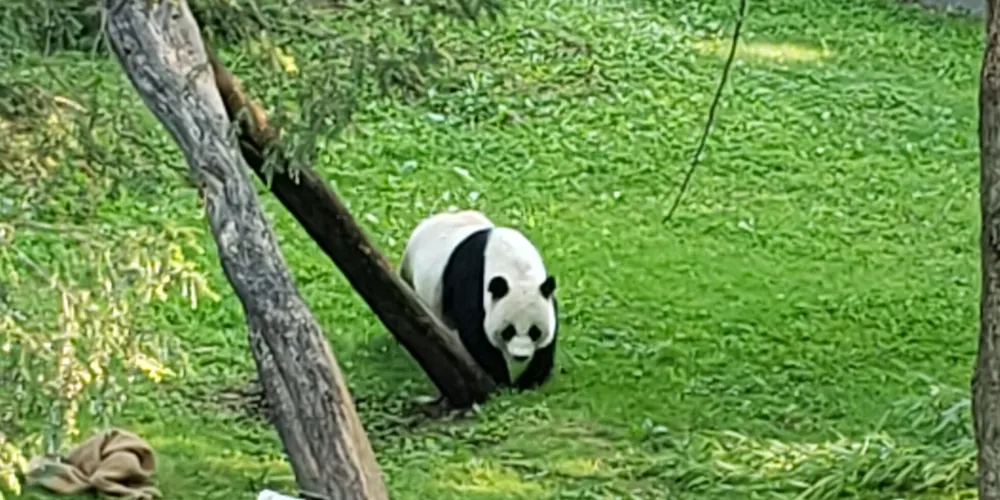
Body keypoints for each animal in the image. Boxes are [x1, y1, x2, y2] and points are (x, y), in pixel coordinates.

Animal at [399, 209, 560, 393]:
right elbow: (475, 331)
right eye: (508, 330)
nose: (520, 356)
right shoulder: (473, 279)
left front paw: (528, 382)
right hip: (410, 270)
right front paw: (502, 381)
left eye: (535, 331)